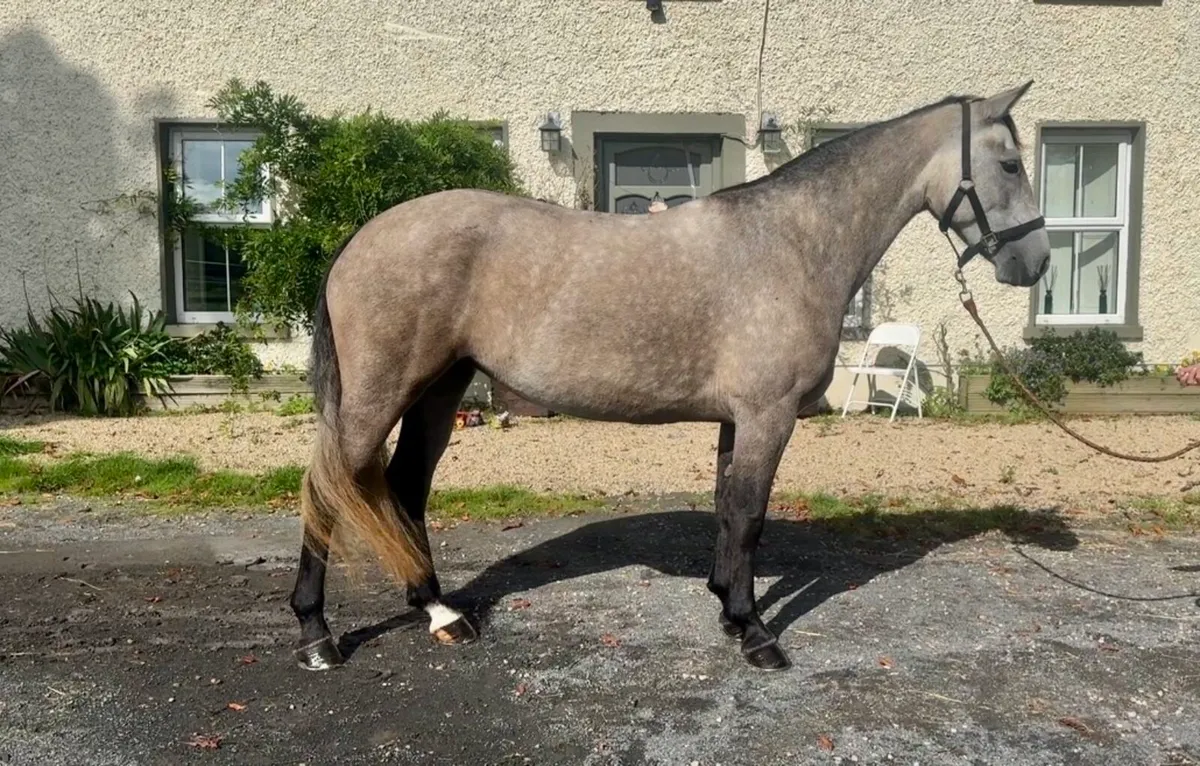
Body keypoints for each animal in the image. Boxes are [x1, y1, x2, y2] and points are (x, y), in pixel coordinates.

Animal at [289, 82, 1051, 673]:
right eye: (1010, 163)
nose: (1036, 263)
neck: (793, 242)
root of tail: (358, 240)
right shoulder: (768, 415)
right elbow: (750, 515)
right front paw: (755, 633)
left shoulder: (740, 419)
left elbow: (729, 509)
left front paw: (727, 608)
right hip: (379, 395)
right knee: (328, 489)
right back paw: (317, 635)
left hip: (438, 390)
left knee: (405, 489)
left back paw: (439, 611)